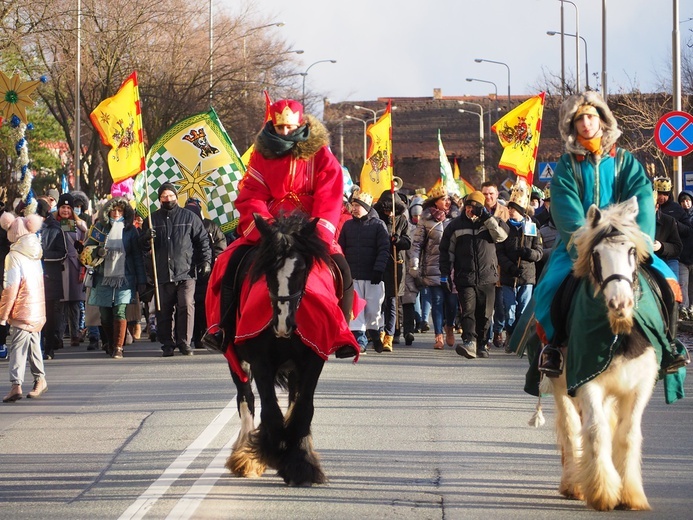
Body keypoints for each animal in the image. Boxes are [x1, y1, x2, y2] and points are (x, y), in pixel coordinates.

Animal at [222, 212, 330, 488]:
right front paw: (273, 452)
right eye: (267, 269)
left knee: (293, 397)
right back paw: (244, 457)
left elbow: (303, 408)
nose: (282, 324)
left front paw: (301, 463)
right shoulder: (260, 361)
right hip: (236, 360)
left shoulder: (314, 359)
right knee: (245, 398)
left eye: (301, 269)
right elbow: (269, 408)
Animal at [544, 198, 656, 512]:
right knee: (571, 427)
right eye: (596, 254)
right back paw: (573, 483)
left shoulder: (640, 386)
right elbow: (595, 432)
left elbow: (628, 434)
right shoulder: (586, 380)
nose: (620, 303)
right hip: (560, 384)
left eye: (632, 251)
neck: (618, 336)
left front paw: (630, 494)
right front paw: (603, 491)